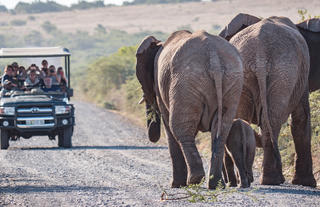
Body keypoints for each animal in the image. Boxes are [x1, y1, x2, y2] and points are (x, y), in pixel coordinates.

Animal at [135, 29, 242, 188]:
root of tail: (214, 57)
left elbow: (169, 127)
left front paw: (175, 185)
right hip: (232, 80)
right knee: (221, 132)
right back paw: (216, 185)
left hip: (185, 82)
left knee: (179, 129)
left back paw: (194, 181)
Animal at [219, 13, 316, 187]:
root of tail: (260, 51)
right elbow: (301, 117)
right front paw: (307, 183)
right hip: (285, 72)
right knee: (272, 120)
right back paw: (272, 180)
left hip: (245, 72)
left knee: (249, 120)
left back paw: (250, 180)